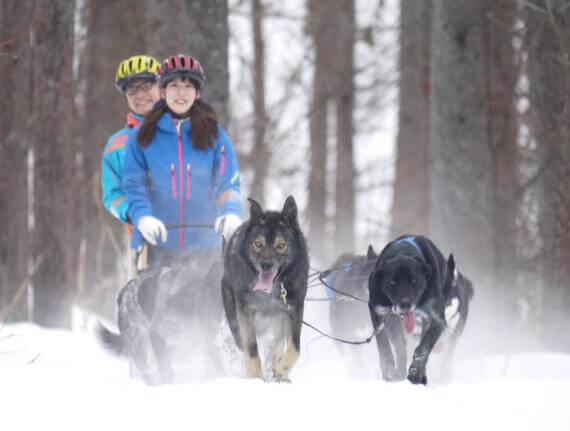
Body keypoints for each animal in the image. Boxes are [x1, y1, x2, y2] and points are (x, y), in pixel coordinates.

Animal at [221, 196, 308, 382]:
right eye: (258, 244)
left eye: (281, 245)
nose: (266, 265)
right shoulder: (246, 312)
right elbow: (251, 349)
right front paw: (255, 377)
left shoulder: (293, 309)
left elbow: (295, 348)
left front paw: (281, 370)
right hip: (234, 316)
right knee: (242, 345)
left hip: (278, 321)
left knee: (276, 347)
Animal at [366, 235, 454, 386]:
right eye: (392, 282)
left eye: (414, 280)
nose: (405, 304)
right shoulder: (378, 311)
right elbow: (383, 345)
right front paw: (389, 373)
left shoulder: (437, 319)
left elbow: (423, 348)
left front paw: (415, 374)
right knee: (400, 345)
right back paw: (400, 374)